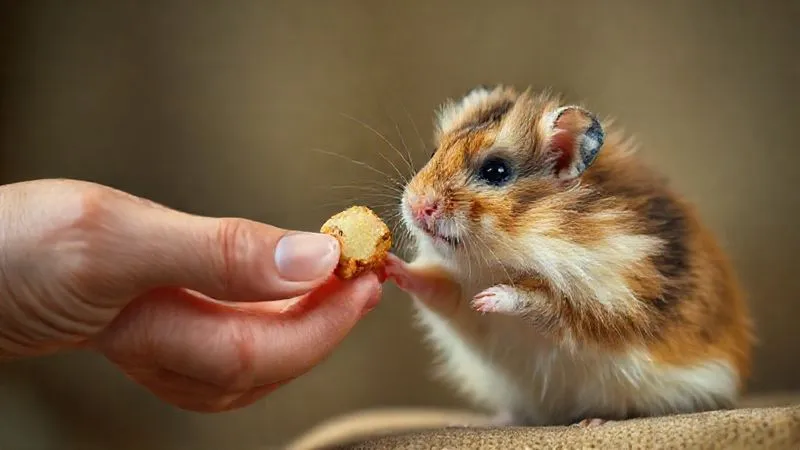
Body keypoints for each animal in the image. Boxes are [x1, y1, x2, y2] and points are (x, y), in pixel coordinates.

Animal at [384, 85, 755, 427]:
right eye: (435, 152)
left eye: (496, 172)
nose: (416, 206)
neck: (499, 256)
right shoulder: (455, 297)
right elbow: (433, 288)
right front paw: (389, 266)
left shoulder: (599, 304)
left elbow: (539, 301)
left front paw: (488, 298)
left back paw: (593, 421)